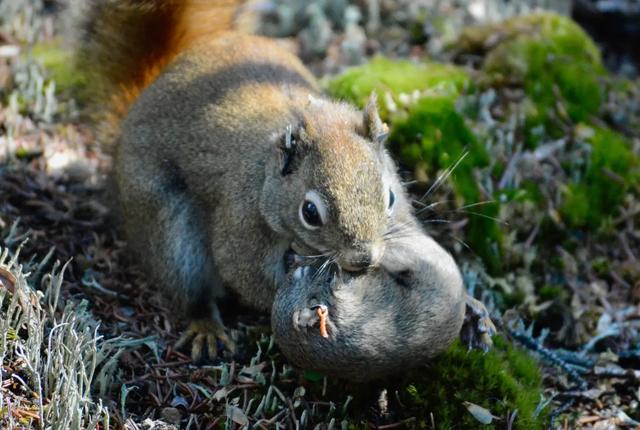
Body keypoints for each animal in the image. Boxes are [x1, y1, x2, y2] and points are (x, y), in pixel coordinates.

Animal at [81, 0, 496, 362]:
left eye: (390, 198)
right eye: (309, 212)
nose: (363, 260)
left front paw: (473, 308)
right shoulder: (242, 223)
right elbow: (248, 276)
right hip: (166, 223)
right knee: (187, 282)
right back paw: (206, 326)